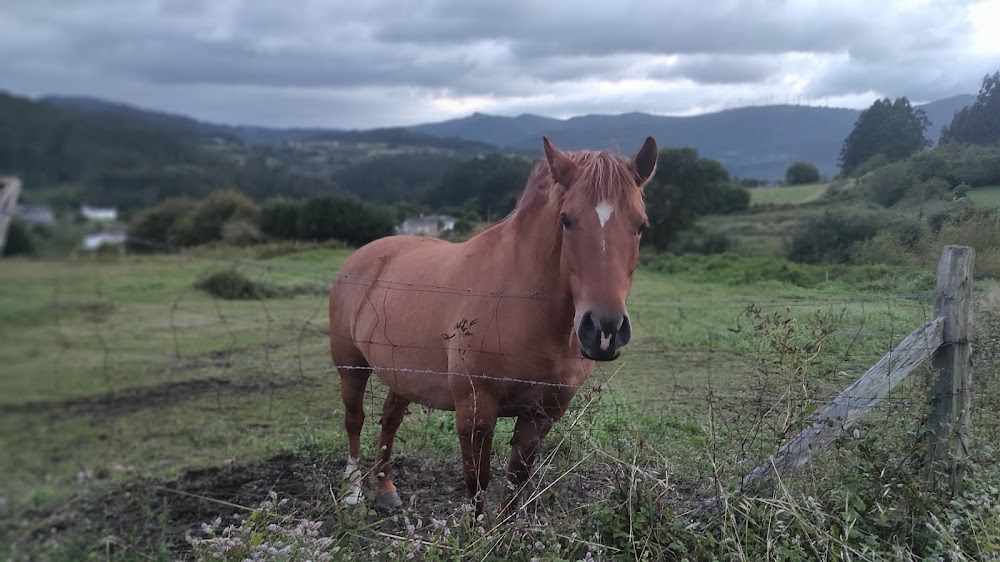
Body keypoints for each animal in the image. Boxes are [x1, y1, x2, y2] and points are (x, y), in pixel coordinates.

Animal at [328, 135, 656, 512]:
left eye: (641, 225)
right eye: (567, 219)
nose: (604, 331)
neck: (520, 303)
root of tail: (361, 257)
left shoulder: (540, 416)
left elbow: (514, 487)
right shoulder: (476, 411)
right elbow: (477, 486)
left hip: (402, 373)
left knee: (390, 419)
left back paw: (386, 490)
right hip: (351, 367)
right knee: (355, 420)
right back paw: (353, 491)